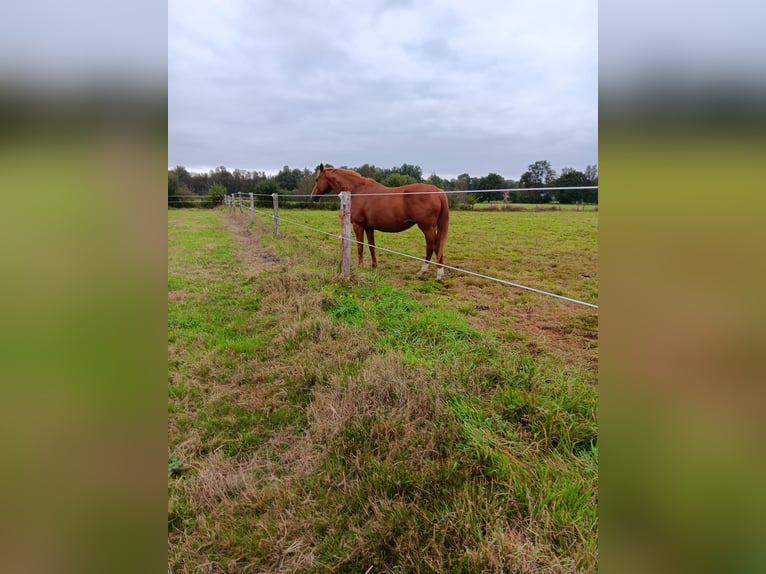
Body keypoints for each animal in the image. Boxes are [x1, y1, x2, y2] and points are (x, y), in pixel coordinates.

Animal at [316, 163, 452, 280]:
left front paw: (360, 266)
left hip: (426, 227)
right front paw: (374, 265)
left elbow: (360, 246)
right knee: (431, 246)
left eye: (317, 179)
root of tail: (438, 191)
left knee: (434, 246)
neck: (356, 191)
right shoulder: (369, 227)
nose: (313, 197)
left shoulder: (358, 225)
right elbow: (371, 246)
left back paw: (438, 274)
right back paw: (423, 271)